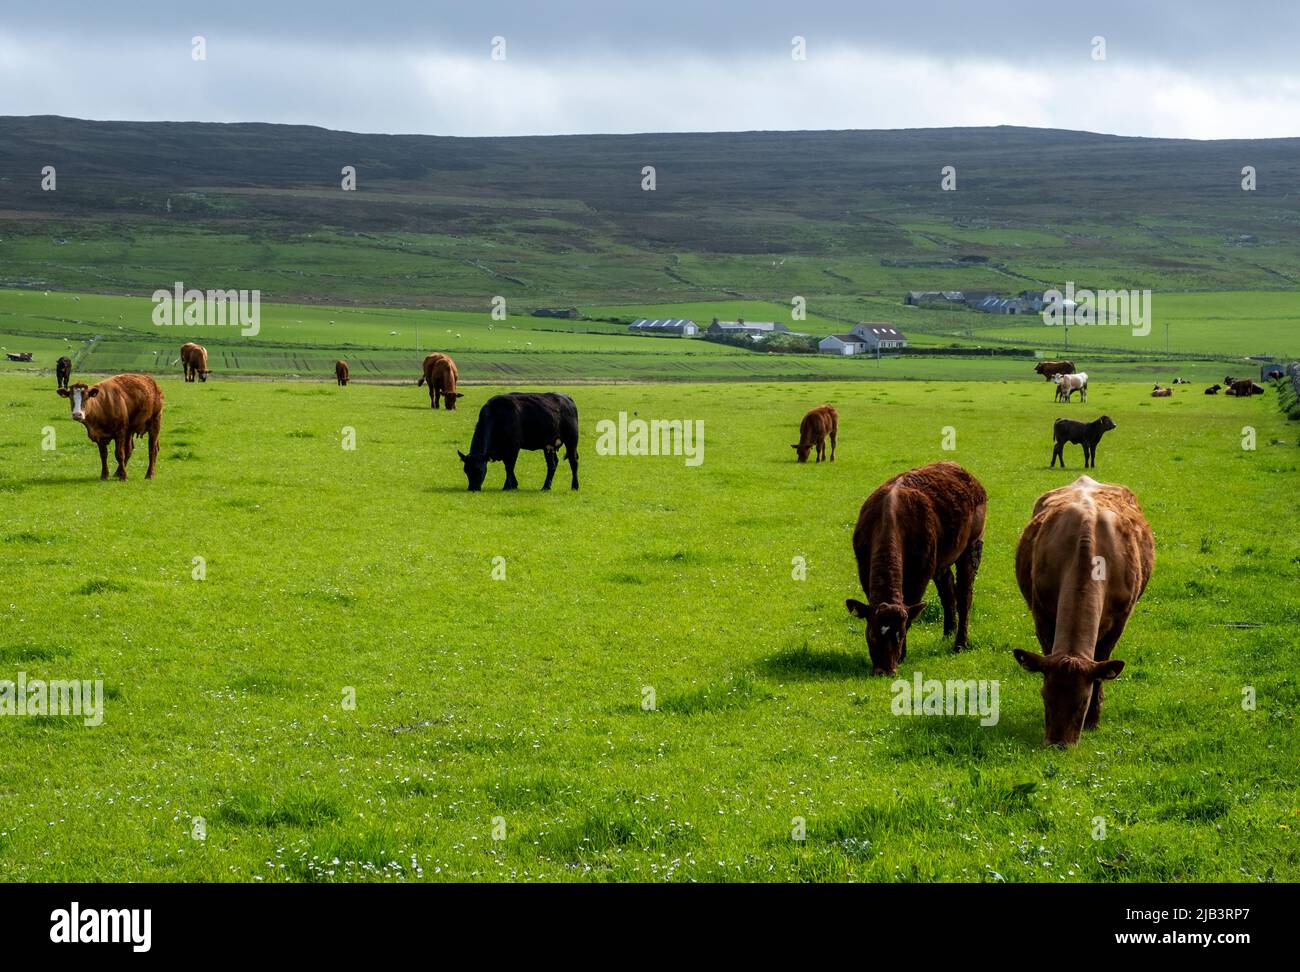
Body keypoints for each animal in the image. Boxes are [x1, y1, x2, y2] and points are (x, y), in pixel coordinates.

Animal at [842, 462, 982, 675]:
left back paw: (959, 643)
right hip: (941, 561)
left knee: (964, 596)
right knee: (948, 591)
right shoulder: (864, 570)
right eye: (872, 635)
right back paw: (947, 634)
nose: (885, 670)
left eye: (899, 635)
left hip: (972, 546)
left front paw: (902, 656)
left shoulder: (920, 575)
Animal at [1008, 475, 1154, 743]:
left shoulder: (1119, 621)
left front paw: (1093, 720)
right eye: (1044, 695)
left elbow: (1101, 663)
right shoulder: (1042, 616)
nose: (1058, 744)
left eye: (1083, 702)